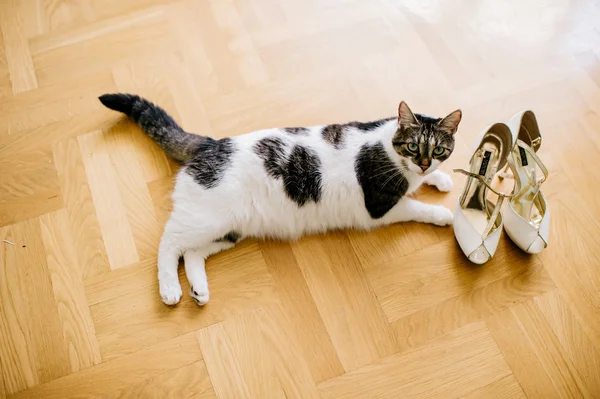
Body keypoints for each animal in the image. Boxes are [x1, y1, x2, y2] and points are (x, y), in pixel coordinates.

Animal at [101, 94, 462, 306]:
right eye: (414, 147)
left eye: (438, 151)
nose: (424, 163)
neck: (391, 149)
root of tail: (210, 144)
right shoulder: (379, 205)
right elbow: (415, 206)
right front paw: (444, 215)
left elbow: (425, 182)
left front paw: (441, 179)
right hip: (206, 219)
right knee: (169, 243)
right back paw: (170, 289)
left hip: (229, 230)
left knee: (191, 253)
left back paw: (199, 290)